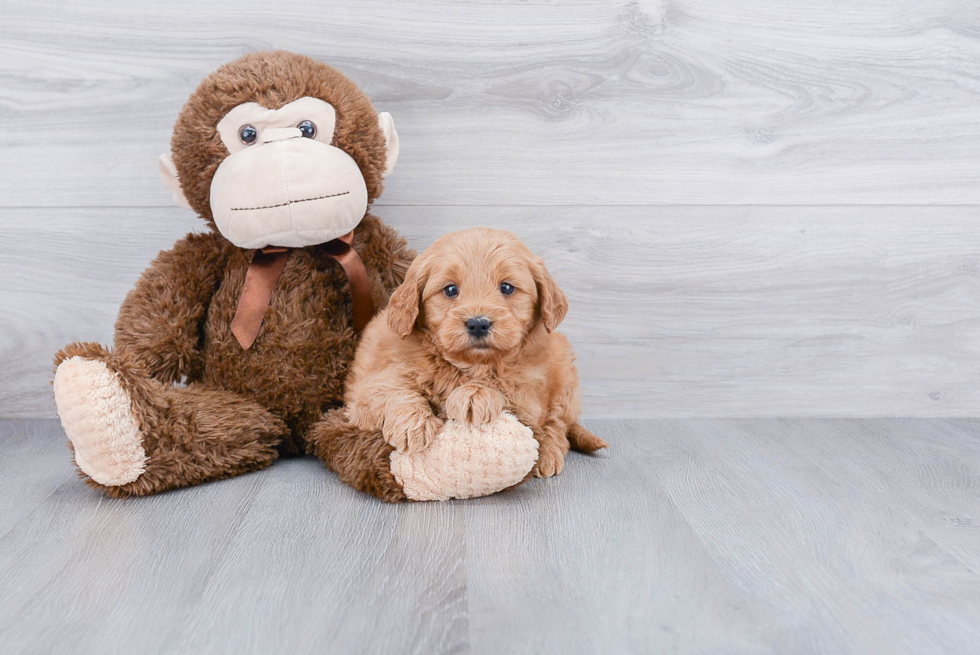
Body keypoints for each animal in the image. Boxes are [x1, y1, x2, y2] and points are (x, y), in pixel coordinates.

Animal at [344, 228, 604, 480]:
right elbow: (395, 391)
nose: (478, 324)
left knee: (558, 424)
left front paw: (475, 395)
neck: (468, 366)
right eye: (450, 289)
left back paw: (549, 453)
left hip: (565, 372)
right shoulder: (363, 396)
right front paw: (412, 426)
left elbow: (505, 390)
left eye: (507, 287)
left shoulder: (528, 402)